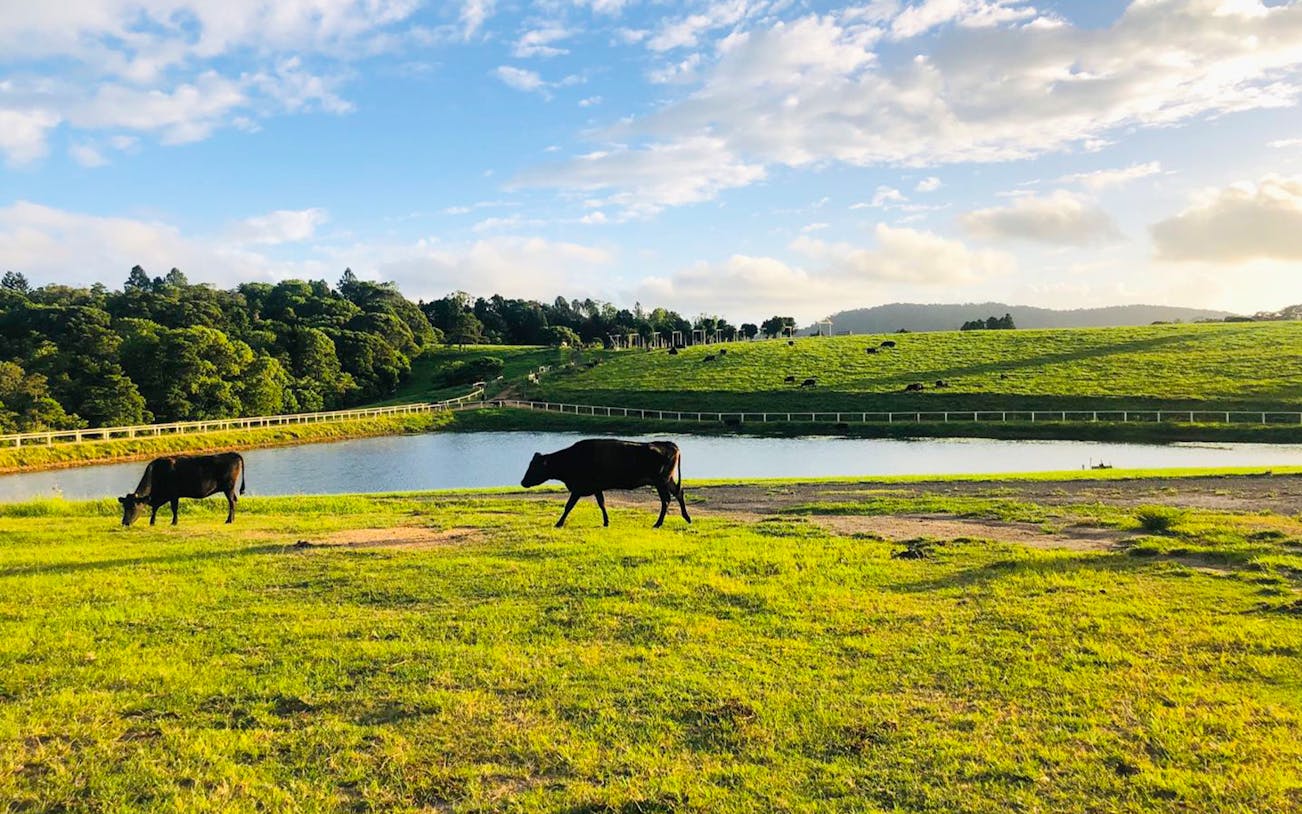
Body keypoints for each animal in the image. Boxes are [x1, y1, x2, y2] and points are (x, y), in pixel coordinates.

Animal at [520, 439, 690, 528]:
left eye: (535, 467)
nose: (522, 482)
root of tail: (668, 443)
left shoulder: (578, 487)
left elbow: (569, 505)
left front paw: (559, 523)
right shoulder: (596, 487)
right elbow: (601, 503)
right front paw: (606, 521)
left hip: (661, 481)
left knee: (666, 500)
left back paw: (658, 523)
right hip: (667, 480)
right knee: (678, 493)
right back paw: (687, 518)